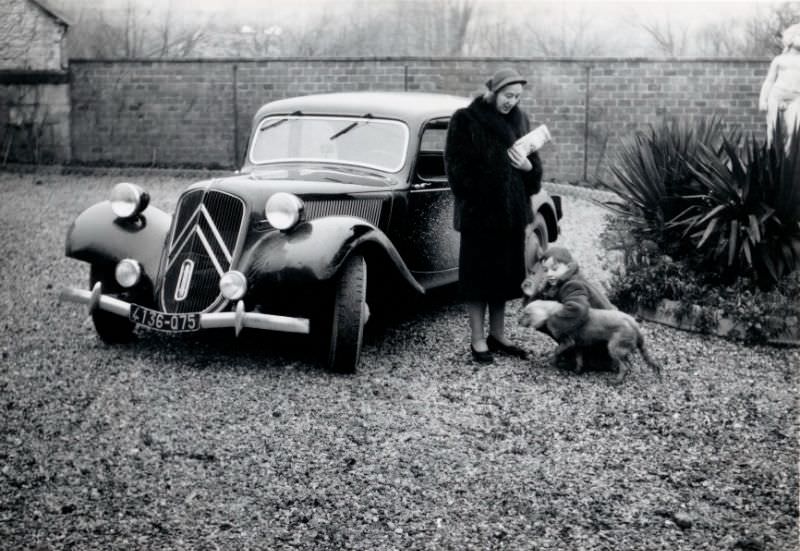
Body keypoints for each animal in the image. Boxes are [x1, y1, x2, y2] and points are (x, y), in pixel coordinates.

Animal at [520, 302, 664, 384]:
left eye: (526, 313)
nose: (517, 321)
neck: (550, 312)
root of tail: (635, 324)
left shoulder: (568, 341)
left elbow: (557, 351)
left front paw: (552, 362)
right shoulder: (577, 345)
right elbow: (579, 359)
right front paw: (577, 370)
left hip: (613, 348)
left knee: (625, 366)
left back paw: (615, 381)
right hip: (621, 348)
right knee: (628, 364)